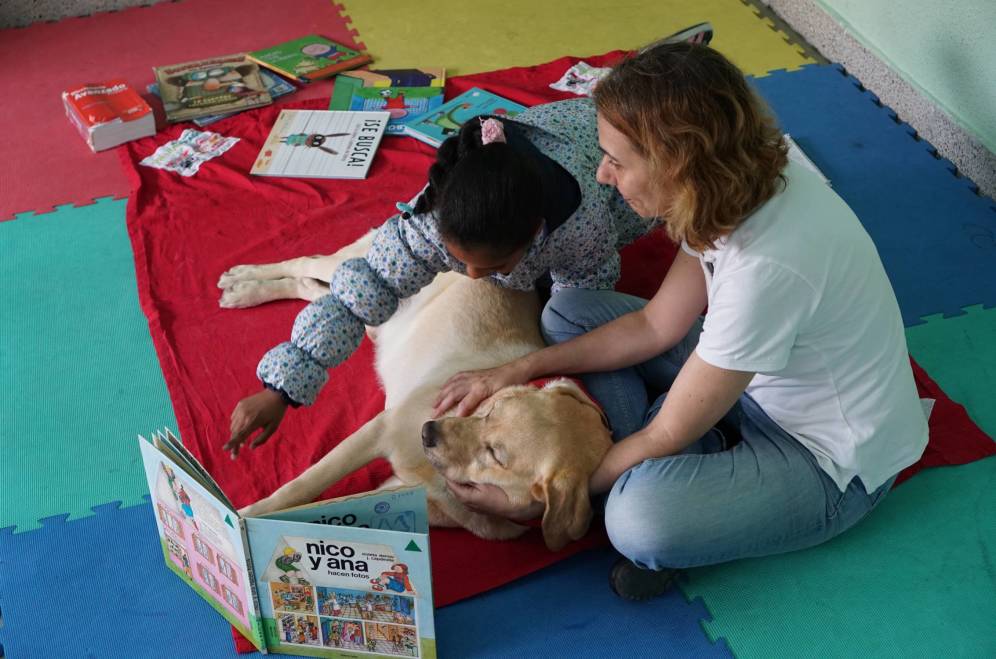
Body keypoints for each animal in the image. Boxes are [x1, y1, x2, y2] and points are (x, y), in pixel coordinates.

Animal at [218, 232, 612, 552]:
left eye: (496, 456)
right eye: (490, 409)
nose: (428, 431)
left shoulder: (398, 493)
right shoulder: (379, 430)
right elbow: (299, 487)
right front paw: (240, 516)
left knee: (322, 293)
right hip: (377, 269)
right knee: (307, 263)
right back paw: (244, 283)